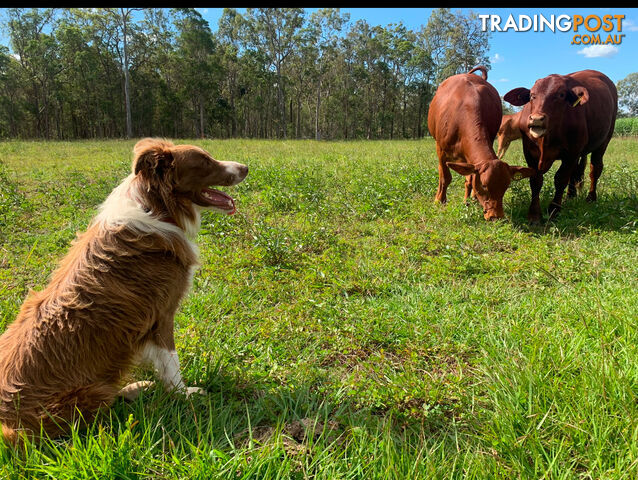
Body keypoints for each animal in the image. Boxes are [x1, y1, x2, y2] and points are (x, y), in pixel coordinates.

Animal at [0, 138, 249, 442]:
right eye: (203, 161)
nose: (246, 167)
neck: (159, 208)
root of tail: (7, 424)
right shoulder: (162, 314)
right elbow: (171, 363)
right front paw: (184, 394)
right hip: (87, 395)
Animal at [428, 65, 536, 219]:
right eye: (484, 186)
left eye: (506, 186)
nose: (496, 216)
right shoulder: (441, 150)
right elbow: (445, 178)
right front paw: (439, 201)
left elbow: (471, 179)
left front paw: (468, 200)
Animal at [504, 69, 620, 221]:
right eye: (532, 95)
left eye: (560, 95)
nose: (537, 119)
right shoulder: (529, 153)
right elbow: (535, 180)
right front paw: (534, 214)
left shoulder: (571, 153)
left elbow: (560, 179)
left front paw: (554, 209)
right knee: (575, 172)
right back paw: (570, 196)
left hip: (603, 141)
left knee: (595, 169)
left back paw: (591, 198)